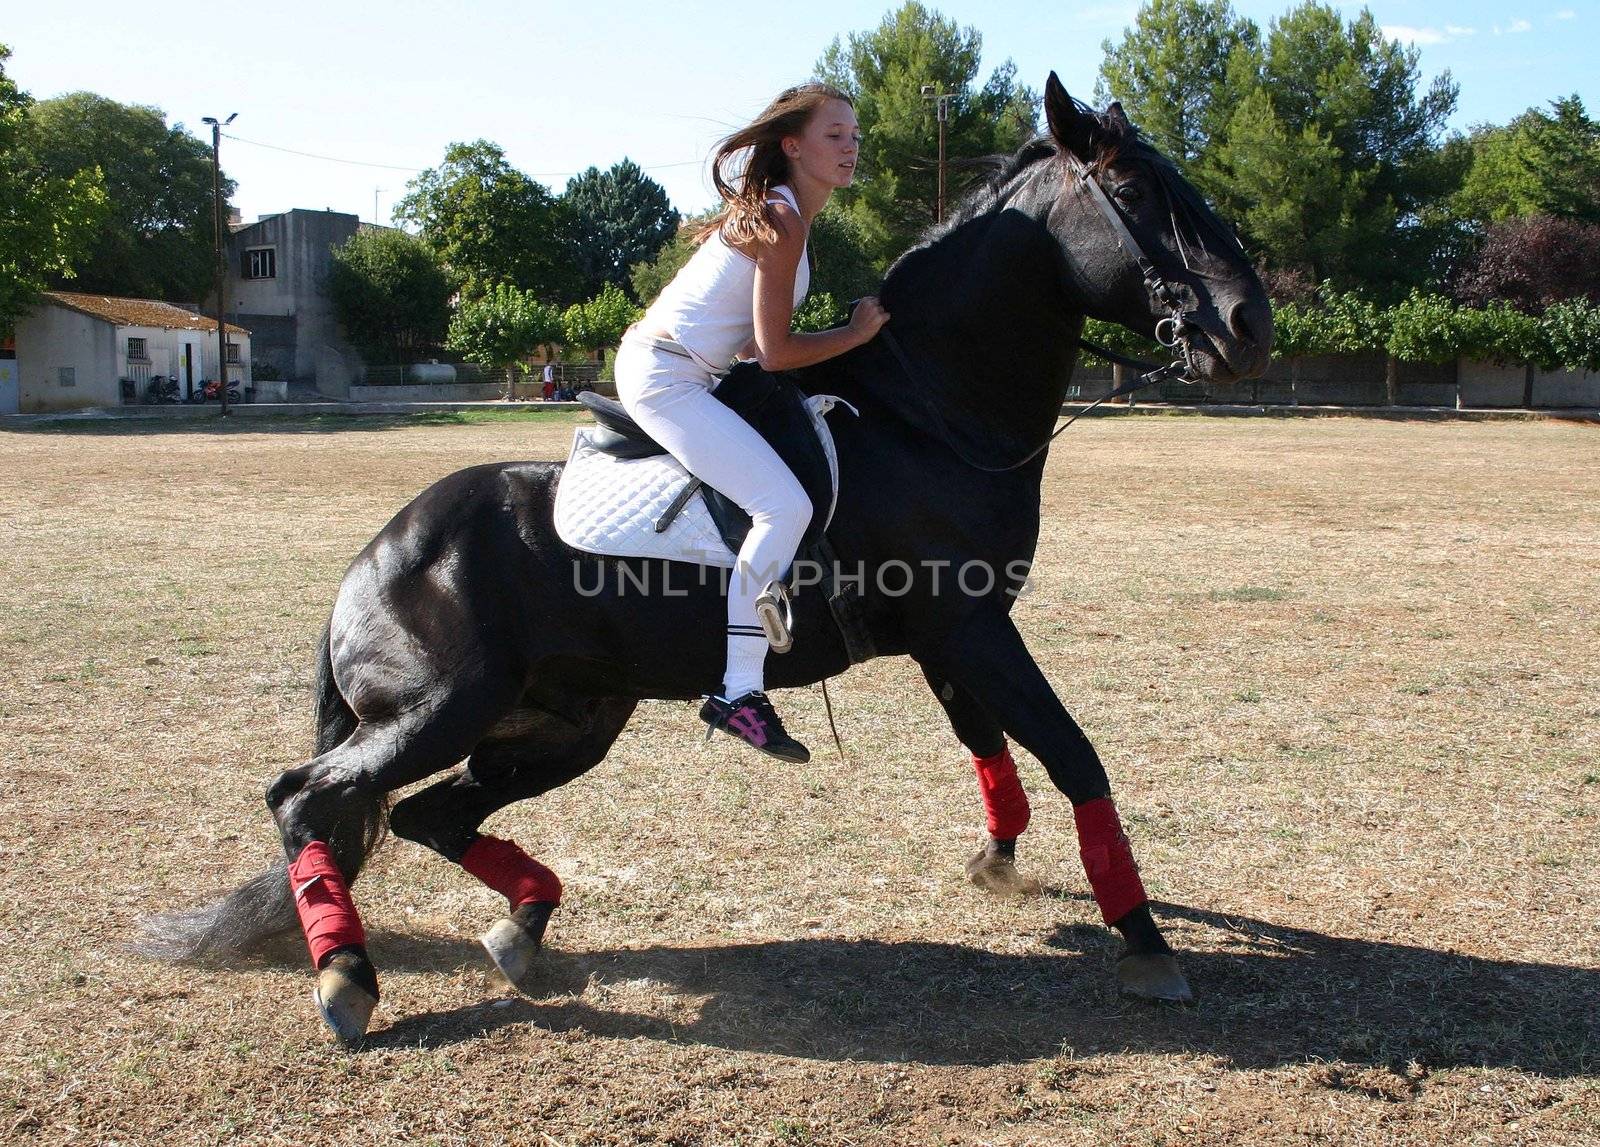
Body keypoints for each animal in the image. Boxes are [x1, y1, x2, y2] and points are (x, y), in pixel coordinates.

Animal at [147, 69, 1273, 1036]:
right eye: (1133, 189)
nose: (1249, 323)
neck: (928, 411)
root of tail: (375, 557)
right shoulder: (970, 626)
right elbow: (1072, 751)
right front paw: (1144, 940)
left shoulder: (953, 632)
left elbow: (989, 743)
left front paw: (1000, 861)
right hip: (440, 706)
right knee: (309, 796)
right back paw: (347, 975)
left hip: (565, 723)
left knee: (431, 812)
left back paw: (525, 924)